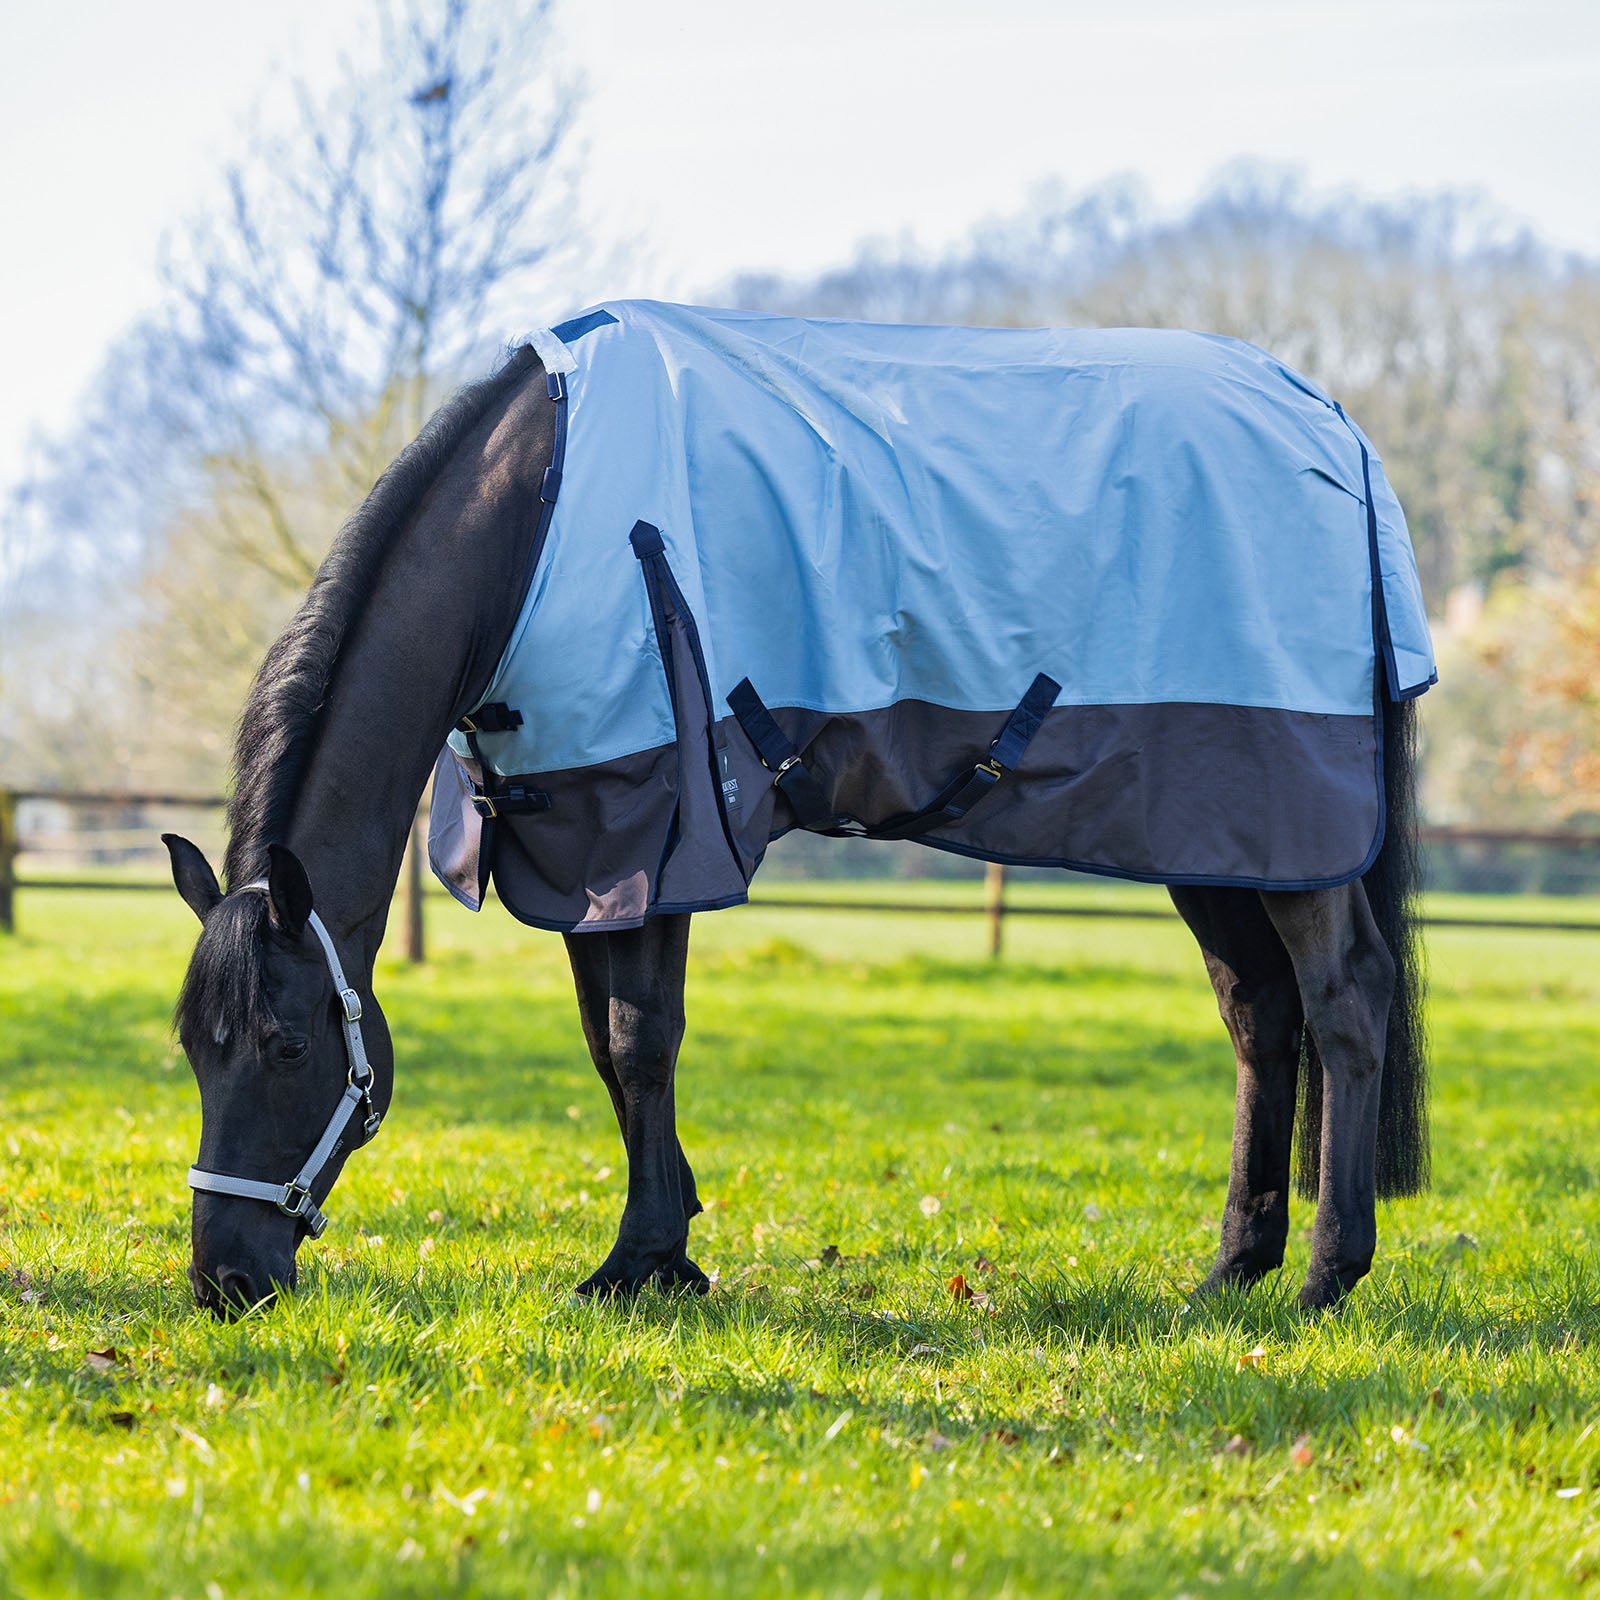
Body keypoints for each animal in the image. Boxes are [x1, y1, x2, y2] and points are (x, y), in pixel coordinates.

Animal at [161, 309, 1429, 1319]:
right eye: (190, 1045)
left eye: (286, 1043)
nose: (227, 1278)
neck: (539, 520)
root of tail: (1333, 424)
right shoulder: (576, 830)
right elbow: (608, 1047)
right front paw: (666, 1246)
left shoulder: (656, 821)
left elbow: (641, 1040)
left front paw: (641, 1259)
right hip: (1218, 835)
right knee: (1260, 1013)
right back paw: (1232, 1269)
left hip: (1290, 819)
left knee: (1344, 1000)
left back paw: (1327, 1275)